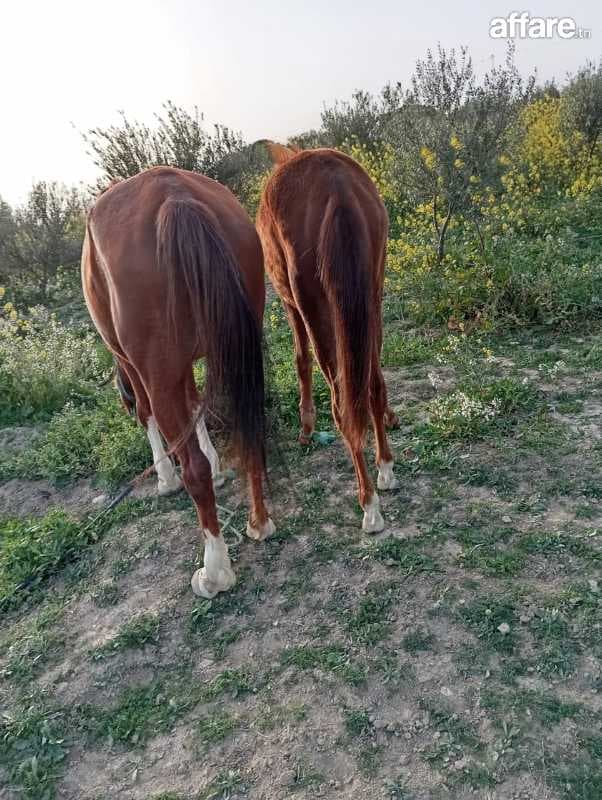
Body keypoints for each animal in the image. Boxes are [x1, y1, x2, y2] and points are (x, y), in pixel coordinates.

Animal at [81, 166, 275, 598]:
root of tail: (174, 196)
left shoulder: (139, 368)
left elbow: (149, 415)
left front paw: (165, 476)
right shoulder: (184, 366)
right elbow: (194, 405)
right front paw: (218, 464)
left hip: (158, 370)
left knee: (194, 471)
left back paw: (216, 571)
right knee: (250, 432)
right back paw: (259, 523)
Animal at [256, 145, 398, 533]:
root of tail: (336, 186)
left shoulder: (291, 305)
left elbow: (300, 360)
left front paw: (306, 427)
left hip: (315, 309)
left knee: (341, 403)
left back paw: (369, 504)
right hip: (372, 297)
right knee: (372, 386)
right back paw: (385, 468)